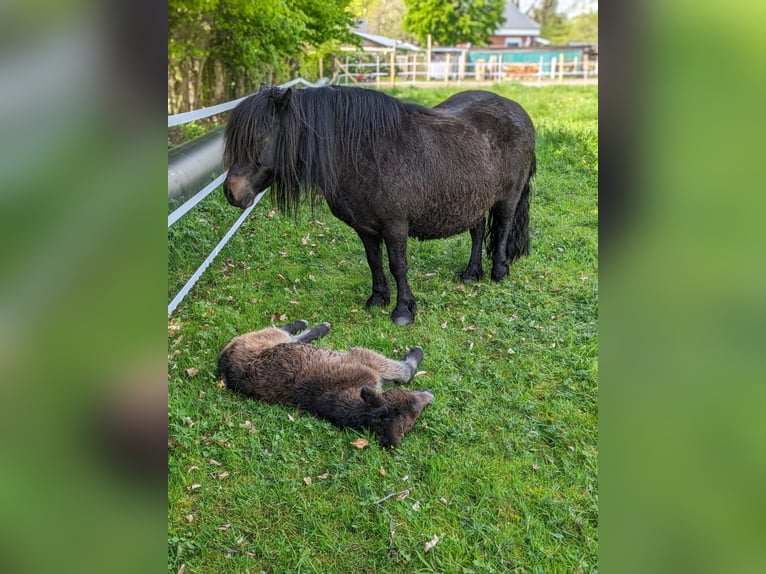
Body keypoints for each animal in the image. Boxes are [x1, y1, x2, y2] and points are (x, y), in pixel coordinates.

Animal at [225, 86, 536, 328]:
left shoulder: (395, 226)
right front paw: (378, 298)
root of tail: (516, 109)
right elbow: (374, 261)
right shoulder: (365, 227)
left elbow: (398, 265)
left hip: (508, 197)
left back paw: (499, 272)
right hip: (474, 200)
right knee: (477, 231)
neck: (365, 152)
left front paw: (403, 310)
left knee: (503, 229)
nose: (232, 192)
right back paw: (471, 273)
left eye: (260, 137)